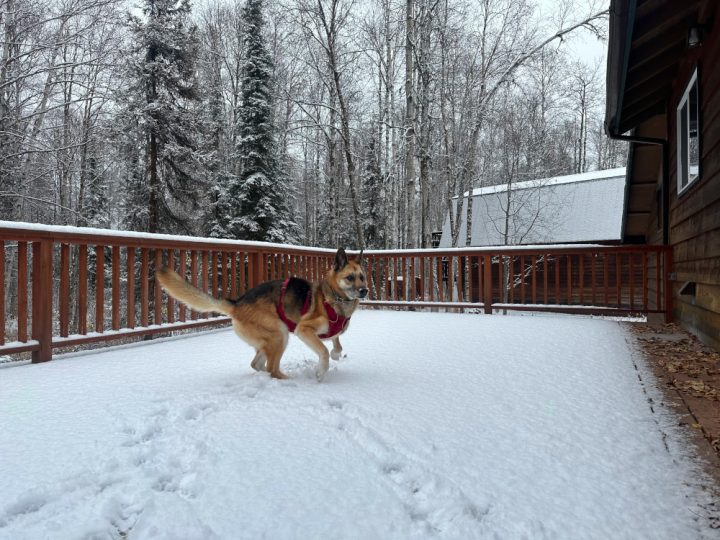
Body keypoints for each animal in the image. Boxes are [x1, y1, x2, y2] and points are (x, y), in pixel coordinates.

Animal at [155, 248, 368, 380]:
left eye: (363, 277)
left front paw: (336, 354)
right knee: (271, 369)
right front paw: (321, 372)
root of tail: (237, 303)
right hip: (280, 334)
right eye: (350, 278)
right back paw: (288, 380)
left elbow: (337, 344)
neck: (333, 297)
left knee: (257, 364)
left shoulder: (333, 332)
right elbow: (323, 351)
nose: (364, 290)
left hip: (268, 340)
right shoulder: (304, 329)